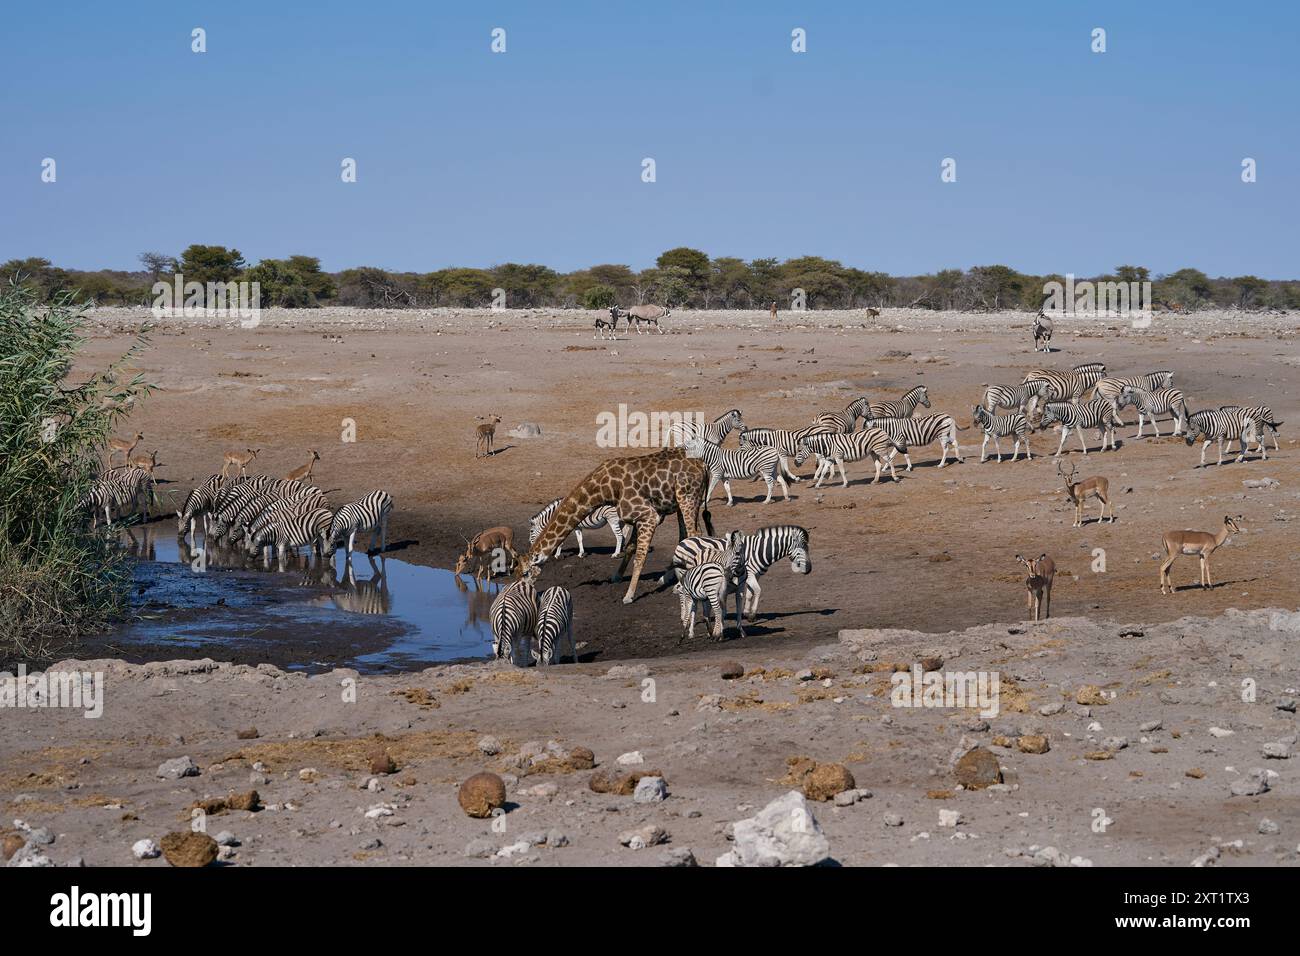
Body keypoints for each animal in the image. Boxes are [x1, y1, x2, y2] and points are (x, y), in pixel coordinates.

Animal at [519, 446, 713, 604]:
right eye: (515, 571)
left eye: (525, 573)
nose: (523, 590)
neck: (605, 488)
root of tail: (703, 465)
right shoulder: (637, 517)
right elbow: (630, 547)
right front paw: (617, 577)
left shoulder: (649, 516)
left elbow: (640, 556)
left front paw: (629, 596)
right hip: (683, 502)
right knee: (685, 536)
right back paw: (668, 579)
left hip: (687, 497)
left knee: (694, 534)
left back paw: (681, 585)